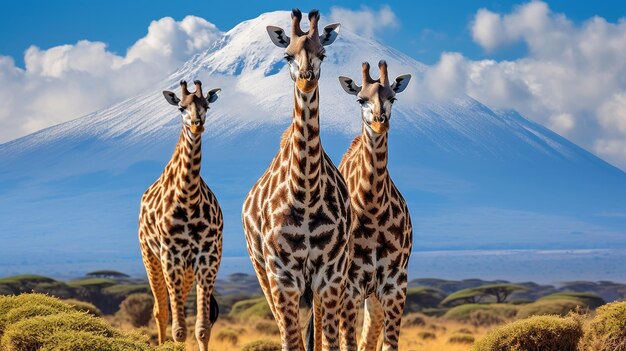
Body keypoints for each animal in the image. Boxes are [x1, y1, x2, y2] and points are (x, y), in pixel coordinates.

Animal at [138, 80, 222, 351]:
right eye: (180, 108)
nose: (197, 124)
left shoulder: (208, 256)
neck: (188, 198)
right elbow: (179, 329)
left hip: (186, 269)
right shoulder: (171, 256)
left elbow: (202, 328)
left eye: (206, 106)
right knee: (160, 310)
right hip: (150, 255)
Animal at [240, 8, 352, 351]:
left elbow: (328, 343)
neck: (305, 192)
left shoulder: (330, 275)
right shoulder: (283, 276)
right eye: (287, 55)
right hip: (262, 271)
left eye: (322, 53)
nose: (306, 76)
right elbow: (292, 343)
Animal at [336, 61, 410, 351]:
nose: (380, 122)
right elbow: (347, 344)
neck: (374, 208)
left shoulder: (394, 286)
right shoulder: (349, 288)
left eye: (393, 98)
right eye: (360, 99)